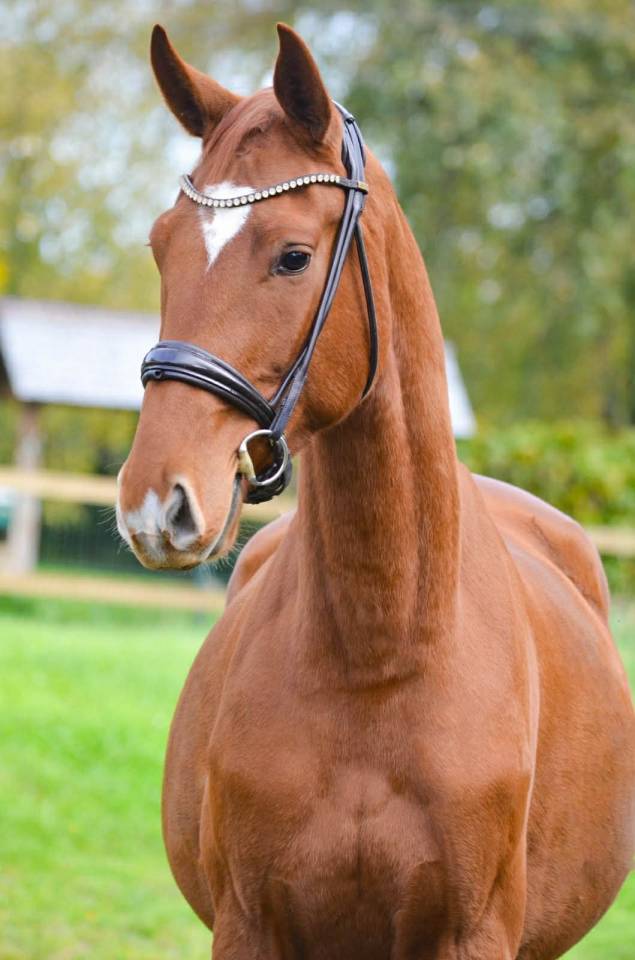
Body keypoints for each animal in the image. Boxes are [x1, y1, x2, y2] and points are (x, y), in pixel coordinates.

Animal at [117, 22, 634, 960]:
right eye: (161, 246)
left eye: (292, 256)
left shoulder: (471, 935)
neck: (383, 653)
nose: (153, 504)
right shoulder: (249, 927)